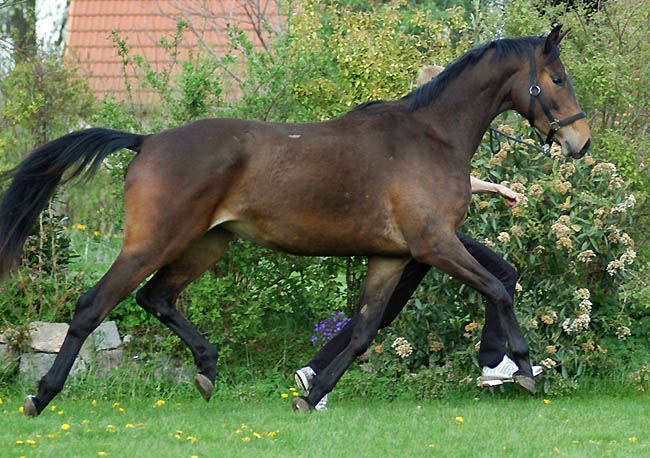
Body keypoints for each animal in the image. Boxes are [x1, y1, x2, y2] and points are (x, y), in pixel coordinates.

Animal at [0, 26, 588, 416]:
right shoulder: (435, 245)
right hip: (153, 242)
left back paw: (207, 369)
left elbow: (364, 331)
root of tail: (146, 141)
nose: (580, 142)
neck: (430, 137)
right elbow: (499, 288)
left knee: (156, 298)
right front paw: (524, 368)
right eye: (557, 78)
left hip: (205, 245)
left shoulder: (391, 256)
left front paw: (313, 393)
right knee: (92, 307)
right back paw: (40, 397)